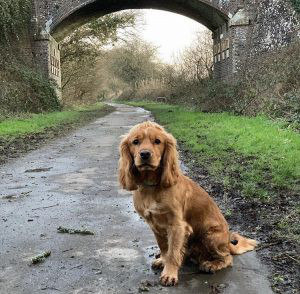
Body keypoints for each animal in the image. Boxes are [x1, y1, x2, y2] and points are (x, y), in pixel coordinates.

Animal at [118, 120, 256, 286]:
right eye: (135, 142)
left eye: (157, 141)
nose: (145, 154)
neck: (151, 187)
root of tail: (228, 242)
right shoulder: (155, 225)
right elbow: (165, 248)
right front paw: (163, 260)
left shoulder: (177, 226)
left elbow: (172, 252)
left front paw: (169, 274)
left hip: (210, 236)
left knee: (227, 257)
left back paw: (211, 264)